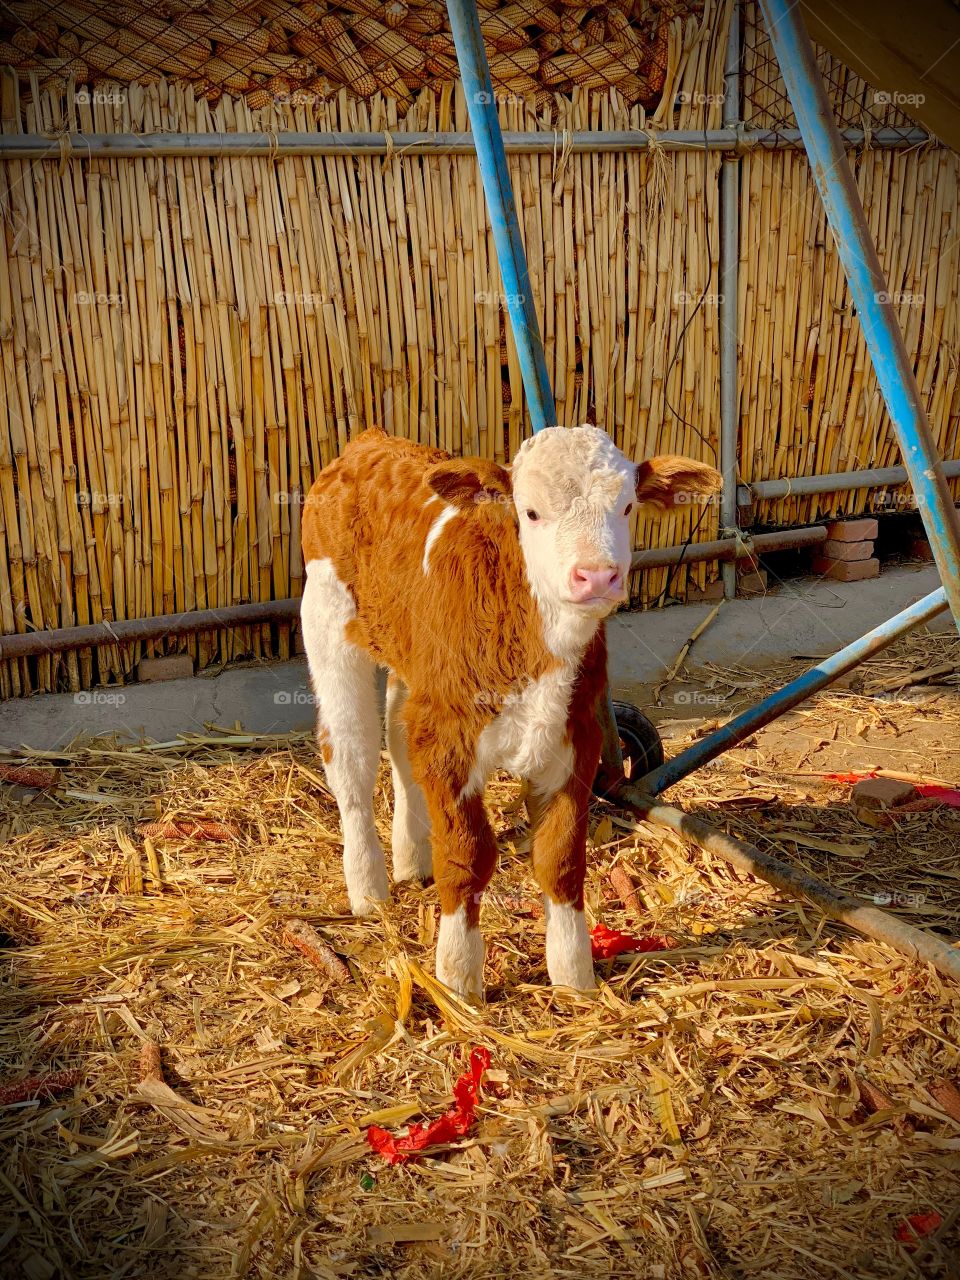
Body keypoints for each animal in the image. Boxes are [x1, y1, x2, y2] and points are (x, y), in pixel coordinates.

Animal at [300, 425, 720, 998]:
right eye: (531, 512)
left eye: (628, 506)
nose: (596, 576)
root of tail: (370, 442)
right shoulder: (451, 737)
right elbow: (468, 856)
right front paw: (458, 978)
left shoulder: (575, 737)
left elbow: (561, 858)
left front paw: (573, 976)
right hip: (328, 623)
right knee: (351, 758)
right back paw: (368, 890)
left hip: (414, 668)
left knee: (400, 745)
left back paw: (411, 859)